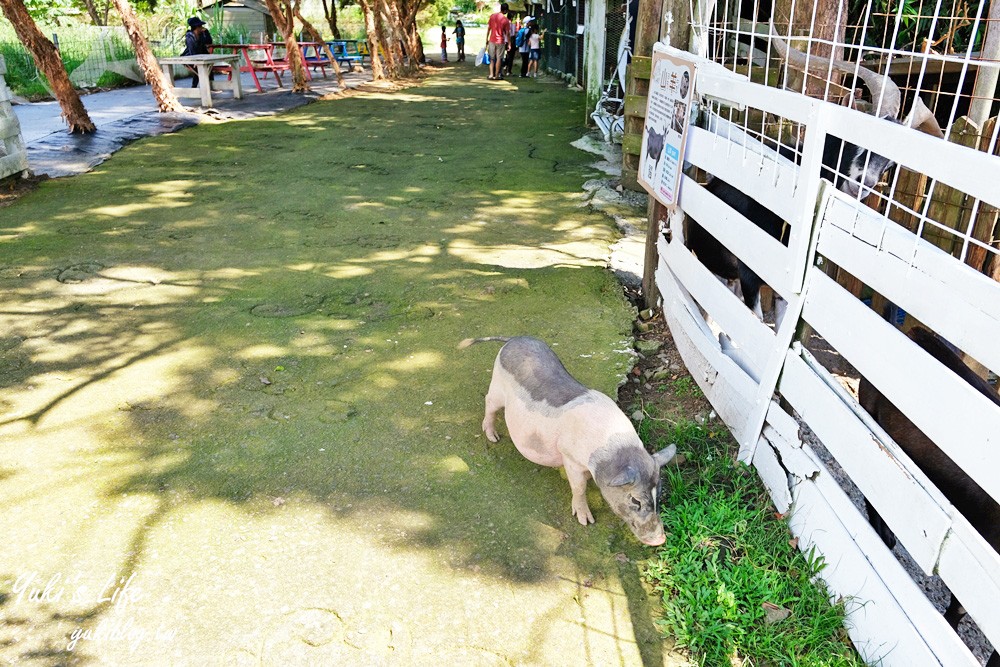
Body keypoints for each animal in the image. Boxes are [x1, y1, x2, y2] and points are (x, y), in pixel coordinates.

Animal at [458, 336, 676, 544]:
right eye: (635, 500)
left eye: (659, 494)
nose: (660, 539)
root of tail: (513, 339)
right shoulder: (569, 457)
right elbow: (578, 488)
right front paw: (586, 521)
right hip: (497, 387)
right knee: (489, 402)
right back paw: (493, 438)